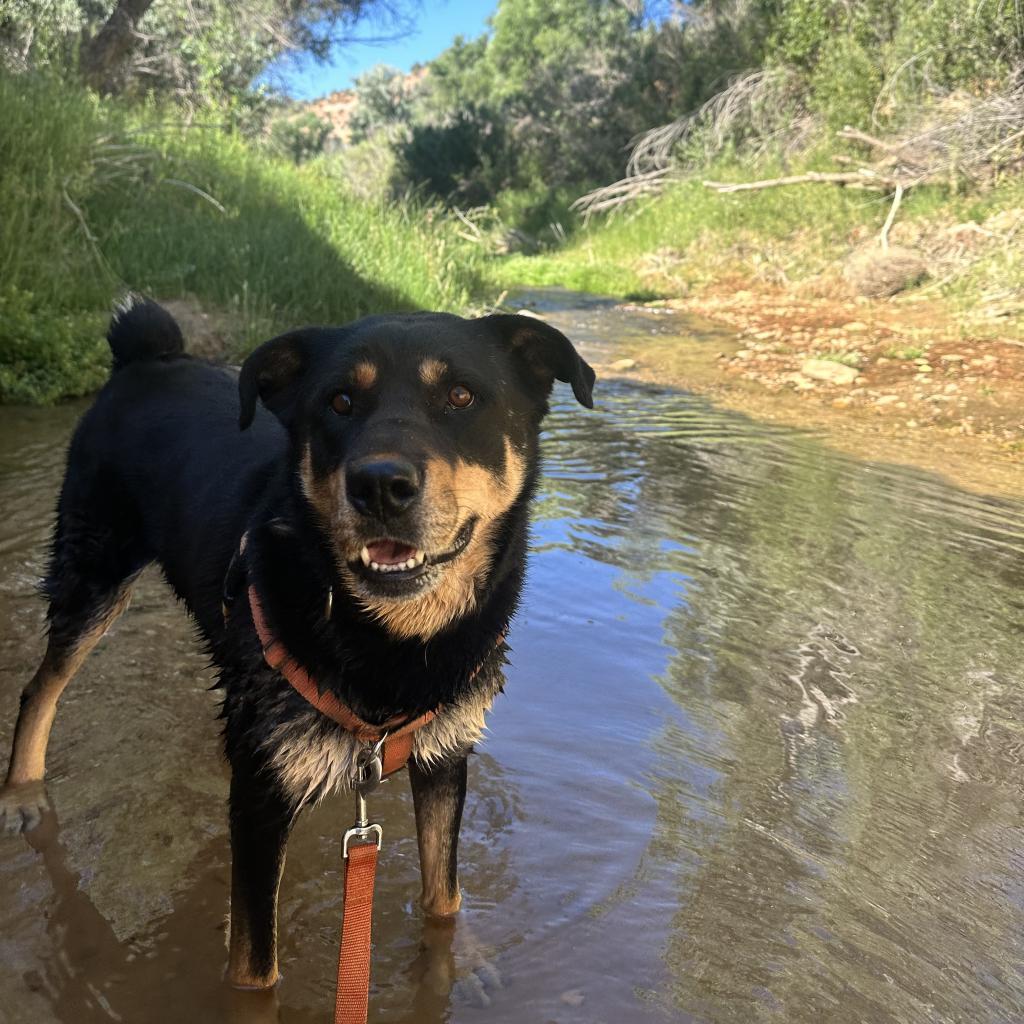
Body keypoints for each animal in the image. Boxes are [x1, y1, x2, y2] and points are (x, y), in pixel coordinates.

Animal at [0, 296, 598, 991]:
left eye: (460, 396)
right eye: (338, 401)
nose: (379, 485)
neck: (389, 642)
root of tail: (145, 357)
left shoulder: (445, 753)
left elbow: (443, 895)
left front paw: (455, 967)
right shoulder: (262, 801)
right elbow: (254, 969)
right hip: (95, 570)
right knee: (40, 686)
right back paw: (22, 794)